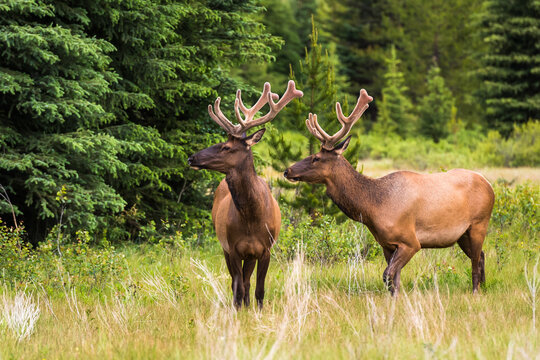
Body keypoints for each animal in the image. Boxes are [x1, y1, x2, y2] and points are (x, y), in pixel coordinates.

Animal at [188, 79, 302, 306]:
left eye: (225, 147)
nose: (191, 158)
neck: (251, 218)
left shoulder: (265, 250)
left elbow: (259, 289)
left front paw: (258, 310)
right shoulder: (232, 248)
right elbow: (237, 286)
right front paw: (238, 309)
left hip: (250, 255)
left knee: (248, 281)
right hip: (225, 246)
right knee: (237, 282)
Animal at [284, 90, 496, 296]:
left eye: (316, 158)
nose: (287, 170)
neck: (373, 207)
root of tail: (489, 185)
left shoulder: (411, 241)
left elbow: (387, 275)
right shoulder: (386, 244)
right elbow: (395, 280)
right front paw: (396, 299)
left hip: (479, 223)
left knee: (476, 260)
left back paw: (476, 291)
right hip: (462, 234)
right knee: (482, 255)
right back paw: (484, 287)